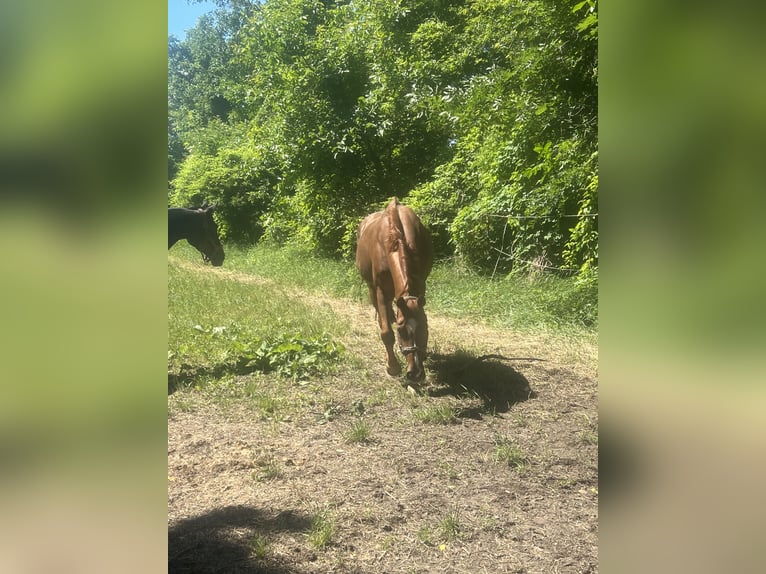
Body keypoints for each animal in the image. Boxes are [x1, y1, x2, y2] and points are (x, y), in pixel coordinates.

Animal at [358, 198, 436, 382]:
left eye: (425, 329)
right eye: (401, 331)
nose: (415, 373)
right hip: (371, 288)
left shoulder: (421, 285)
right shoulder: (380, 289)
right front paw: (392, 367)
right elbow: (386, 332)